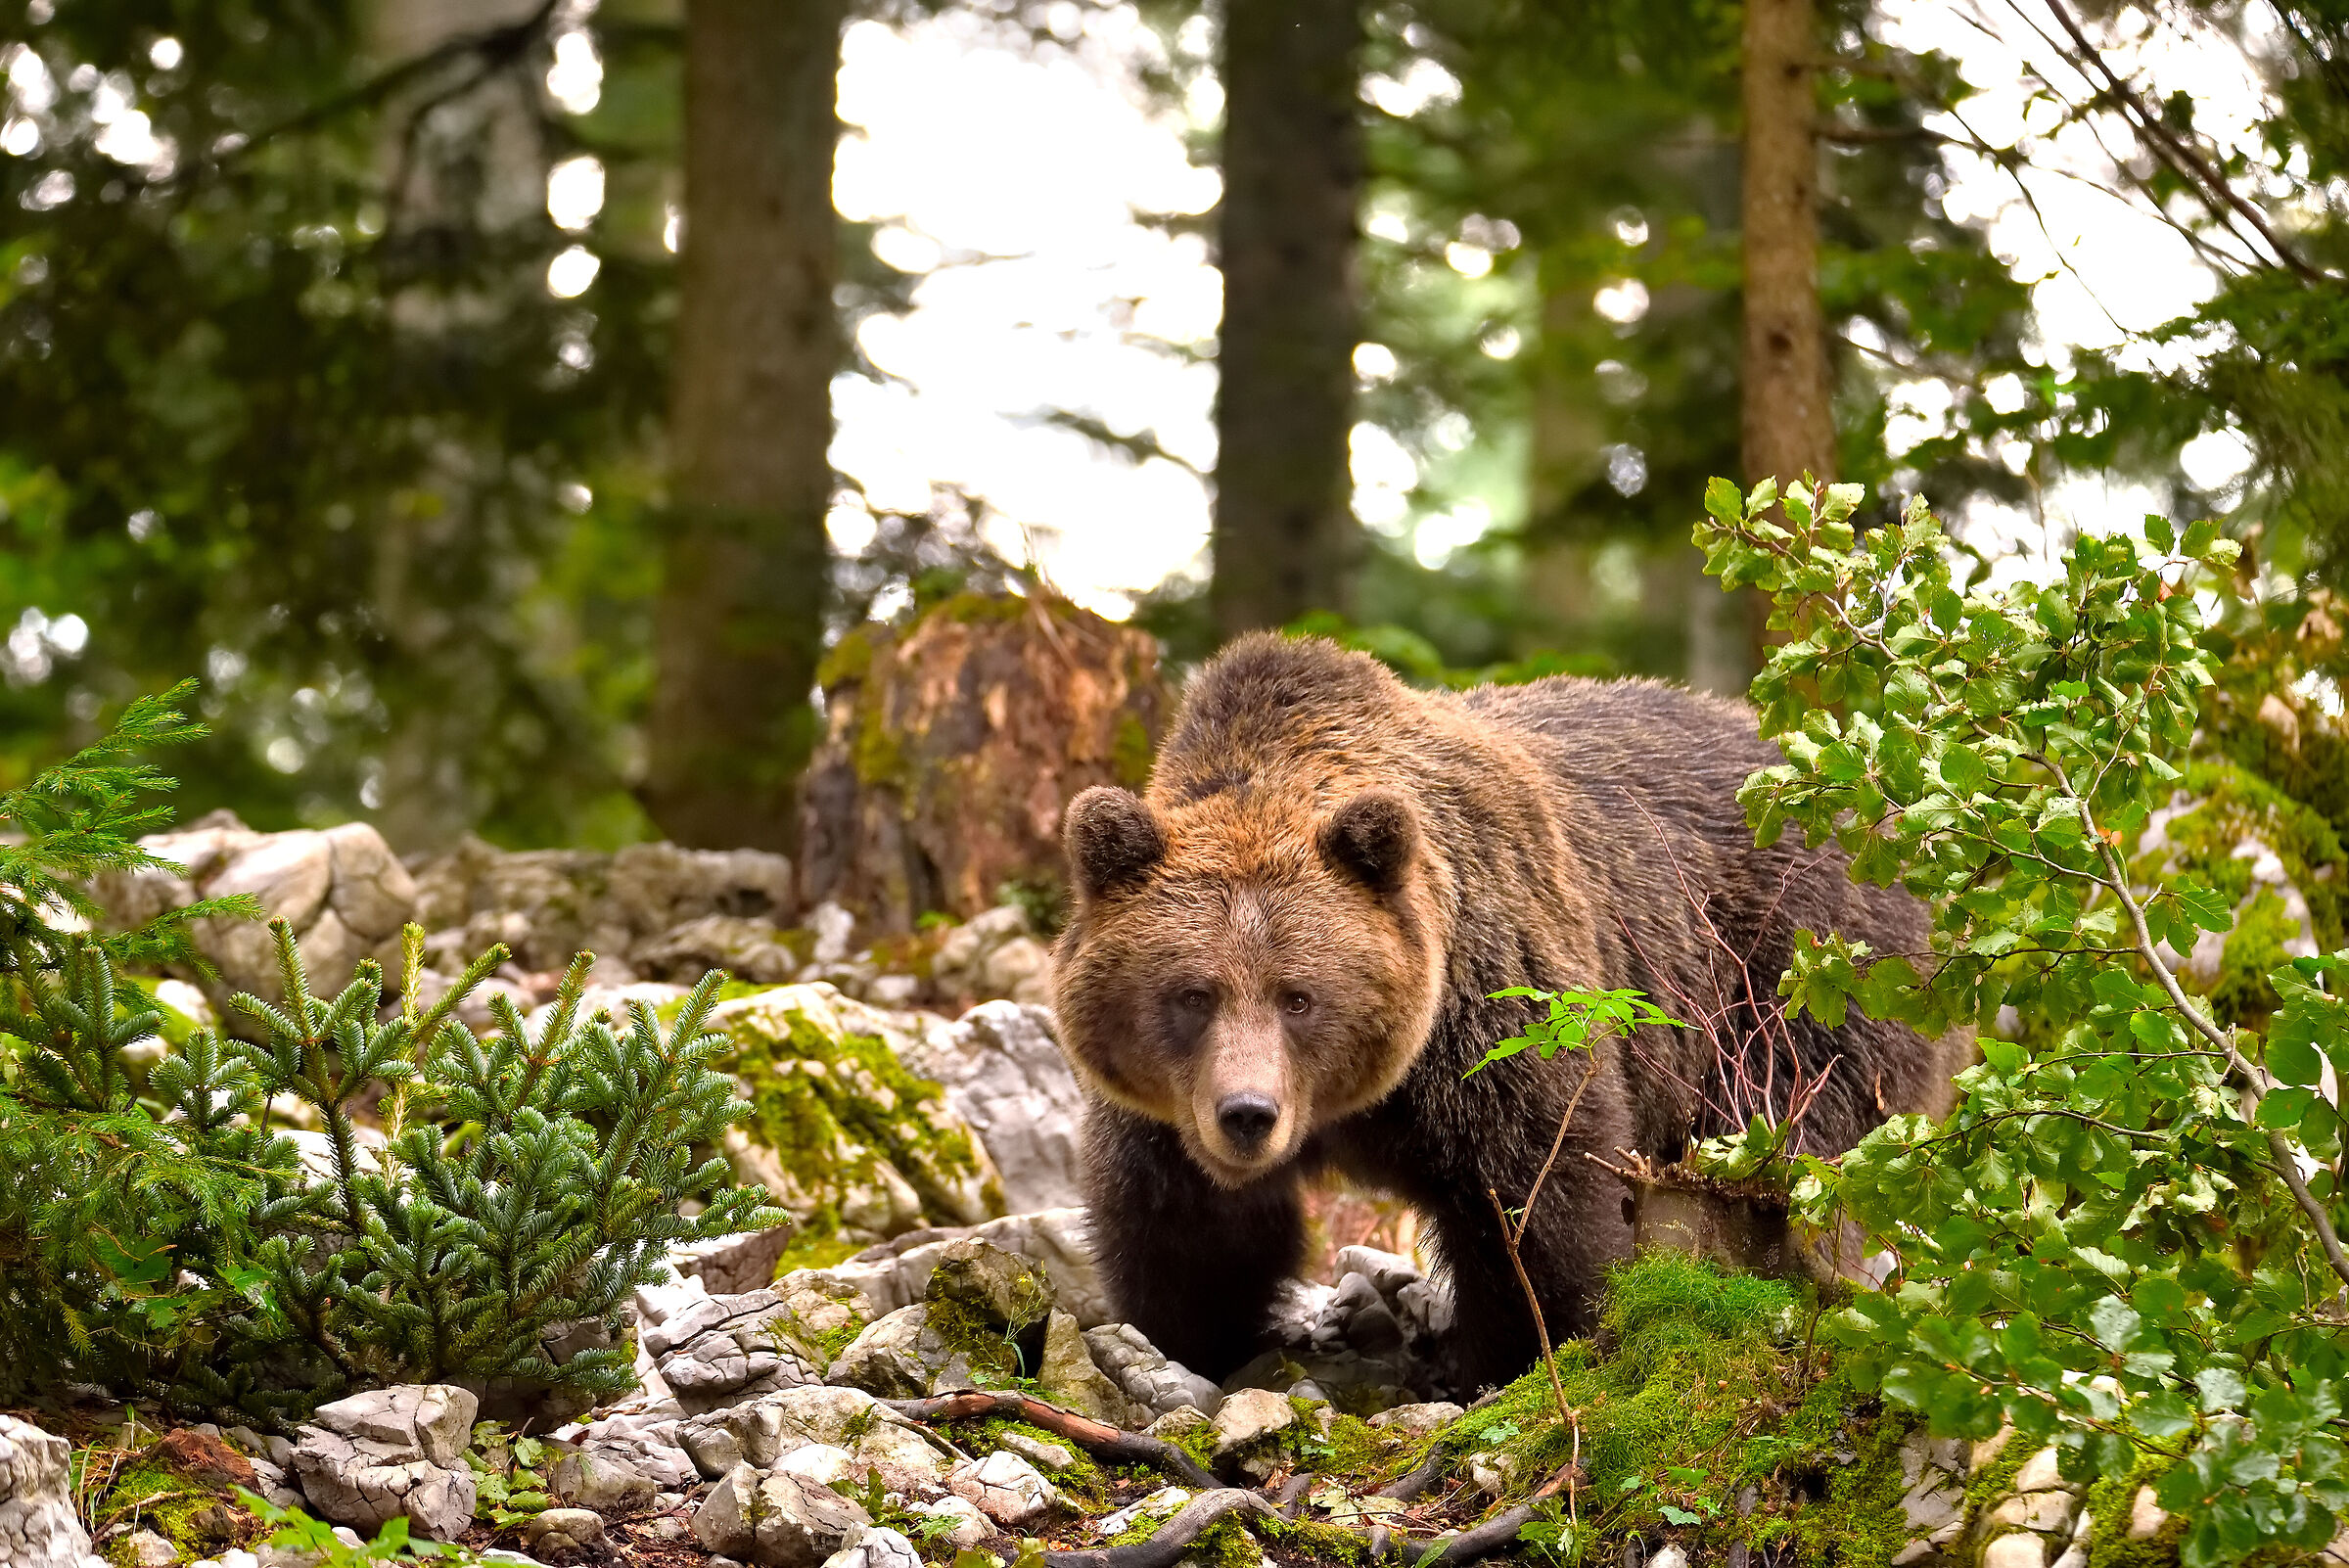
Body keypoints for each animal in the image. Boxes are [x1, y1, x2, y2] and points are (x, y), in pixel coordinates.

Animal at [1050, 632, 1965, 1395]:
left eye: (1298, 995)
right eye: (1193, 993)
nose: (1248, 1114)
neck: (1356, 1100)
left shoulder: (1490, 1012)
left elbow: (1536, 1196)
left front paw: (1509, 1354)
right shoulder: (1168, 1110)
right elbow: (1185, 1228)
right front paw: (1195, 1340)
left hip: (1797, 973)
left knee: (1790, 1128)